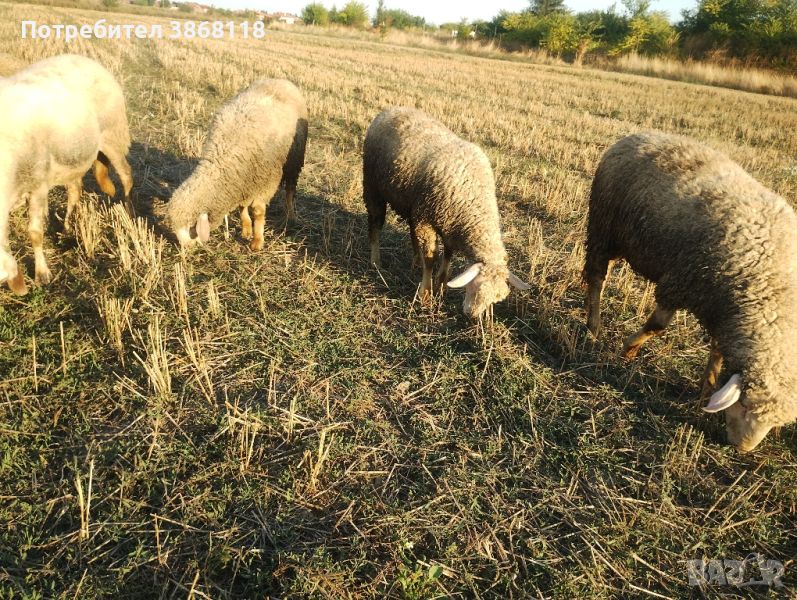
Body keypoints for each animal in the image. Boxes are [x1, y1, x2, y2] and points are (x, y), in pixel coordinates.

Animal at [0, 55, 134, 294]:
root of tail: (89, 60)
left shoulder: (38, 184)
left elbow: (35, 232)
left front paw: (42, 274)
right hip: (75, 154)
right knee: (75, 189)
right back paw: (68, 226)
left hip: (113, 136)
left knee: (126, 174)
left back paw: (129, 212)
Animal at [166, 78, 308, 251]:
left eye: (190, 227)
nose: (188, 250)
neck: (224, 155)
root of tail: (280, 80)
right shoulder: (243, 181)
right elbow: (242, 206)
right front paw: (246, 229)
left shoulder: (266, 180)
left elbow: (258, 211)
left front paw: (257, 242)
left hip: (295, 159)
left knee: (290, 191)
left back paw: (291, 216)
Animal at [362, 110, 528, 322]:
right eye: (475, 286)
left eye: (496, 299)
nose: (471, 316)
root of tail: (391, 109)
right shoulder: (428, 220)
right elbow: (431, 259)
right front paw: (425, 293)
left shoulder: (450, 225)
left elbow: (448, 255)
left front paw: (441, 285)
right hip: (373, 185)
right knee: (375, 224)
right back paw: (376, 261)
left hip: (412, 203)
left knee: (411, 229)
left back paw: (415, 261)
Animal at [580, 131, 796, 450]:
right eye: (744, 406)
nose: (742, 449)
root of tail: (639, 134)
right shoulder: (681, 280)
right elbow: (657, 325)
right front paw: (628, 350)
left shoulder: (721, 308)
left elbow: (717, 351)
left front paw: (706, 387)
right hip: (604, 226)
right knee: (596, 278)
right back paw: (593, 326)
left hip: (623, 238)